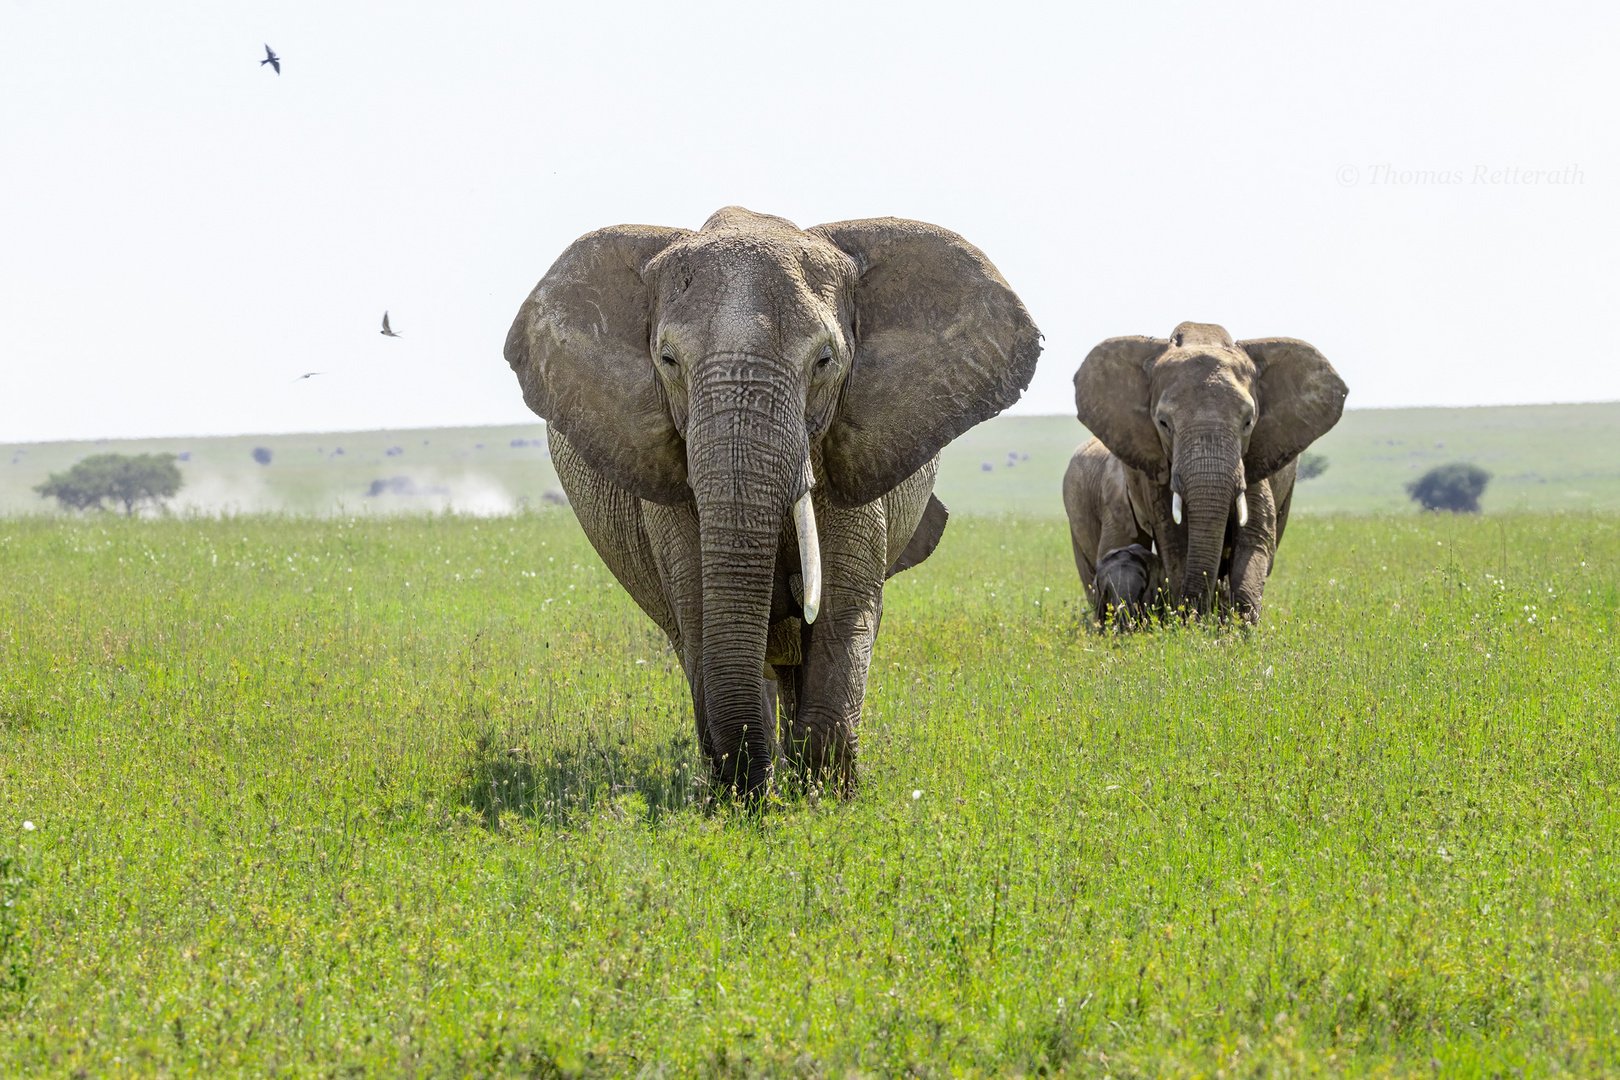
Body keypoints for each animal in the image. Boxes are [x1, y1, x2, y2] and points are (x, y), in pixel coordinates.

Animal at [502, 208, 1036, 793]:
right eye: (667, 360)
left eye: (824, 361)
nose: (750, 791)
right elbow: (701, 607)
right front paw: (748, 797)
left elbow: (845, 605)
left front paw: (826, 797)